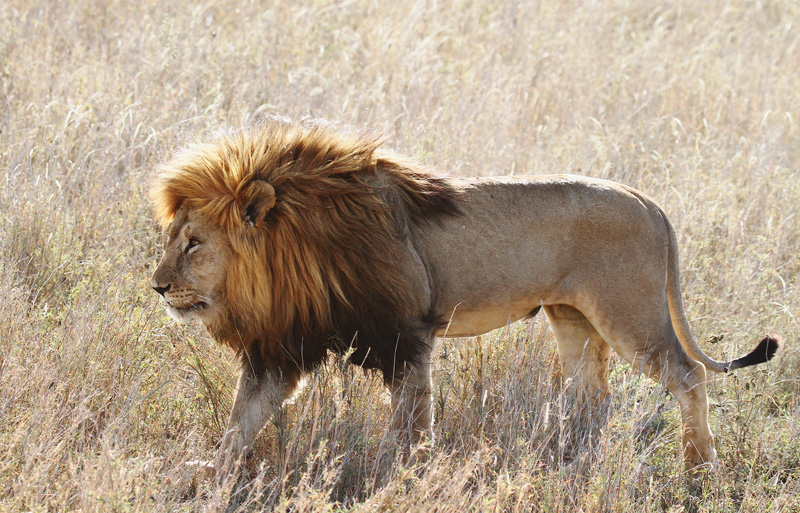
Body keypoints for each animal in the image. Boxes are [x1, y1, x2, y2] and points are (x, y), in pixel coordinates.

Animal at [150, 116, 780, 472]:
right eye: (172, 239)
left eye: (193, 244)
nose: (157, 286)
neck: (291, 254)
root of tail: (647, 200)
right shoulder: (284, 345)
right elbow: (242, 419)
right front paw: (208, 474)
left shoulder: (405, 333)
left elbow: (410, 419)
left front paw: (398, 472)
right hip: (573, 317)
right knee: (591, 395)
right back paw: (572, 459)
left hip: (631, 314)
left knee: (688, 375)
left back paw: (699, 470)